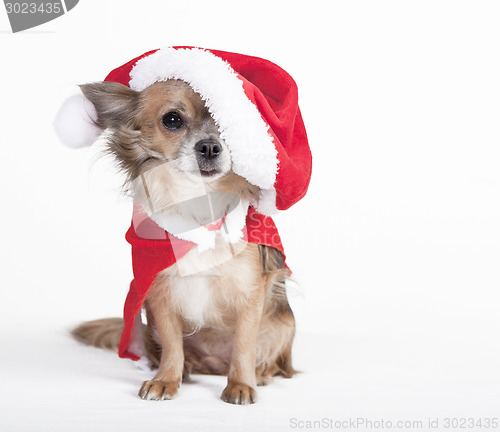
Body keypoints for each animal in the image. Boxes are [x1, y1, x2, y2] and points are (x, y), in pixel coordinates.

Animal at [72, 78, 294, 404]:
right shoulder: (160, 293)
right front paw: (166, 380)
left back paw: (261, 374)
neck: (198, 205)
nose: (211, 146)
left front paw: (241, 384)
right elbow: (172, 344)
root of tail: (213, 366)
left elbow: (243, 345)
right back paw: (186, 369)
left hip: (283, 322)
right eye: (173, 120)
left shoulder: (250, 293)